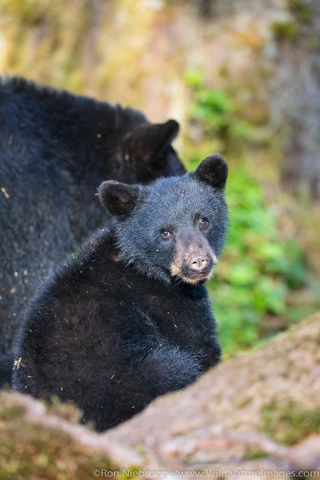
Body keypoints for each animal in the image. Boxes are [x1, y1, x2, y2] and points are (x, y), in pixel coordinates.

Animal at [12, 154, 228, 432]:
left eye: (203, 220)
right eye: (165, 232)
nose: (198, 262)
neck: (142, 266)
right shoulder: (169, 307)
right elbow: (200, 347)